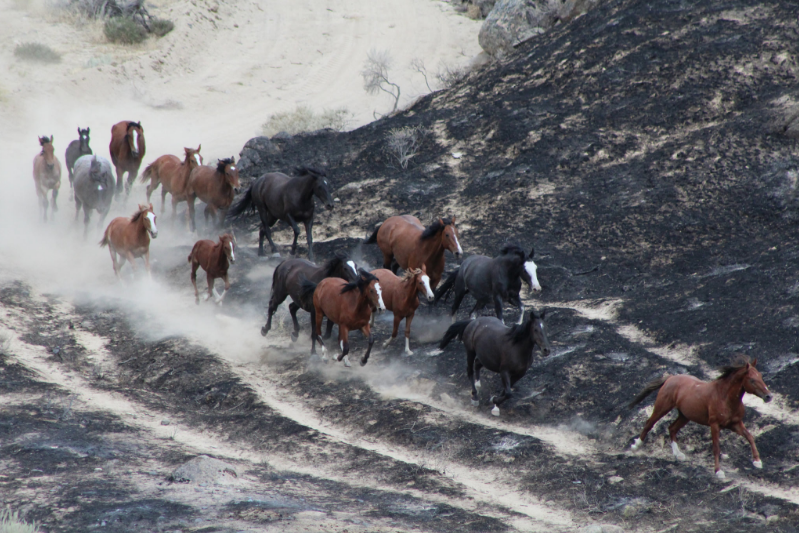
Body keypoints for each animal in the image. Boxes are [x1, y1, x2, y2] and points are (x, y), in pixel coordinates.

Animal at [632, 356, 776, 480]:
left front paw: (757, 461)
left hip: (685, 416)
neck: (725, 398)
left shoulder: (735, 424)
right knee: (649, 423)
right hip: (662, 407)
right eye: (752, 380)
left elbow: (749, 436)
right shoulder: (715, 425)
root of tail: (671, 378)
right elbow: (716, 448)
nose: (769, 396)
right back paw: (636, 445)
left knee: (672, 428)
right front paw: (718, 471)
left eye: (761, 376)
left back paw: (678, 454)